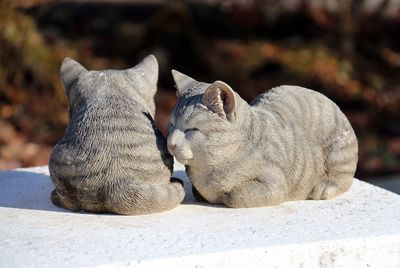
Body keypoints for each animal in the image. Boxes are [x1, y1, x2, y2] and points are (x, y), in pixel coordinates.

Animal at [167, 70, 358, 207]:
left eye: (191, 130)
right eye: (171, 124)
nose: (171, 143)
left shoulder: (276, 184)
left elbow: (235, 197)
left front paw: (226, 195)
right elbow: (199, 192)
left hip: (337, 151)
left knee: (344, 178)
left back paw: (323, 187)